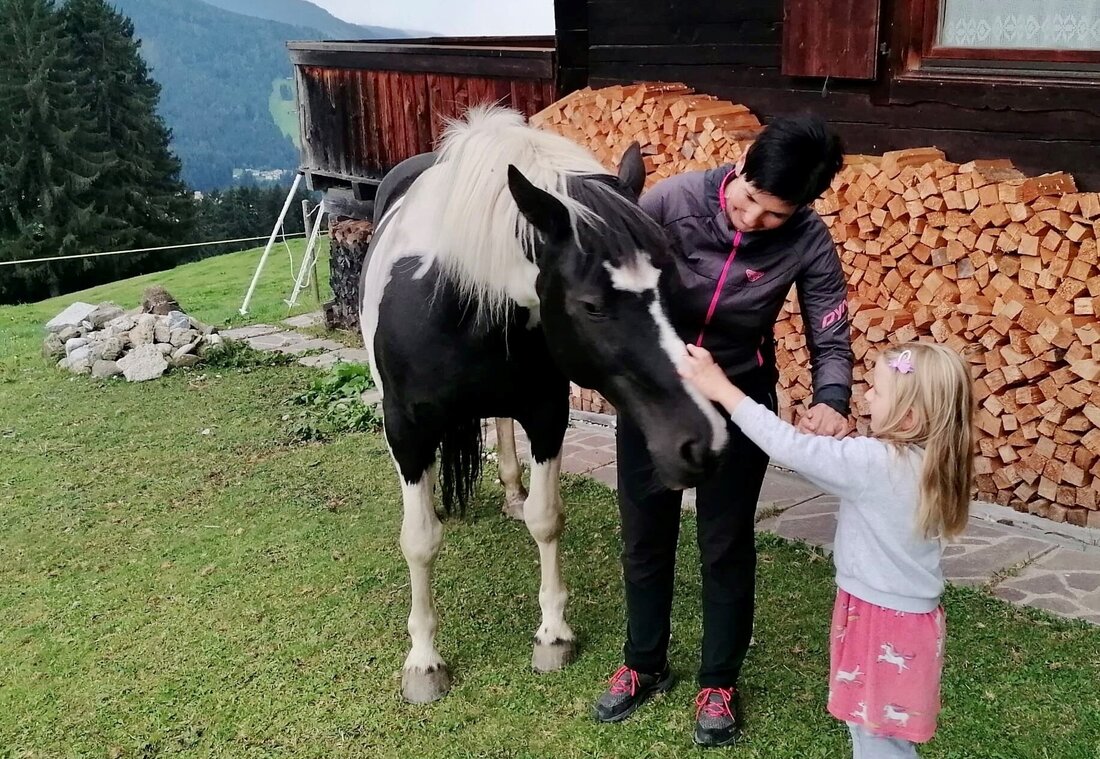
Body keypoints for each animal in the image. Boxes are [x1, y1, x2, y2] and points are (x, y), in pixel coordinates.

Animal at [359, 105, 728, 703]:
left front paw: (553, 634)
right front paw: (423, 662)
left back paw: (511, 491)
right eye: (592, 305)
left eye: (670, 285)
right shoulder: (406, 430)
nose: (703, 442)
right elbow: (418, 541)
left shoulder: (547, 413)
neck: (452, 300)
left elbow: (546, 517)